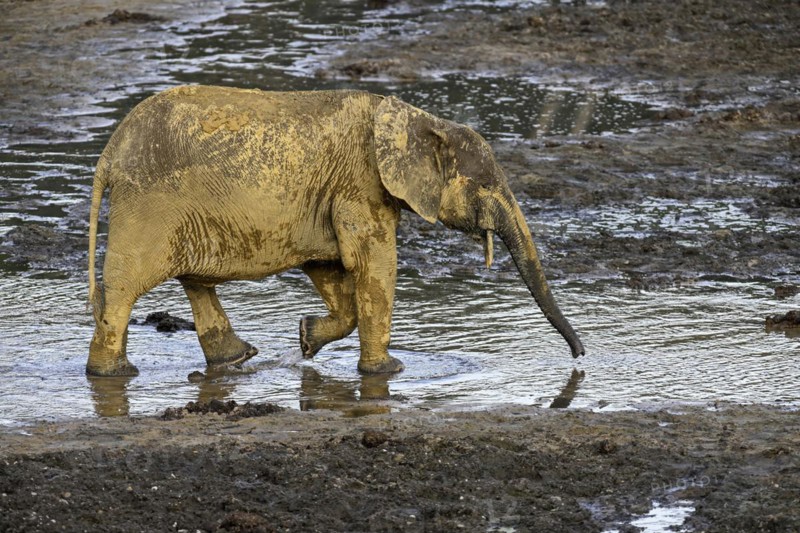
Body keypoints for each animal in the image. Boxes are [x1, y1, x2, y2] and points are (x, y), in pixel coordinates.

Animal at [86, 85, 584, 377]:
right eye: (485, 185)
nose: (580, 357)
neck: (418, 119)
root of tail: (109, 153)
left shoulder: (333, 194)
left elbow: (330, 269)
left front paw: (305, 340)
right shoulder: (360, 185)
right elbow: (375, 265)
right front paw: (389, 372)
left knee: (195, 281)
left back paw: (239, 359)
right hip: (150, 202)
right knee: (125, 286)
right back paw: (113, 375)